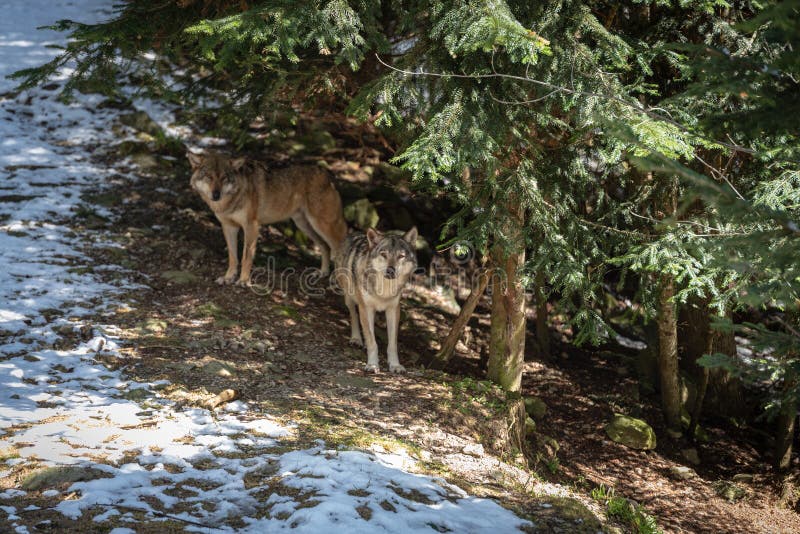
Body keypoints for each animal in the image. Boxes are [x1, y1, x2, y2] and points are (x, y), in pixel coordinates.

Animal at [189, 151, 348, 284]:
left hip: (323, 225)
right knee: (325, 247)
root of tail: (327, 174)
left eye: (224, 178)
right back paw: (323, 273)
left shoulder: (251, 226)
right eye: (209, 177)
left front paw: (243, 280)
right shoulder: (229, 227)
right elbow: (233, 257)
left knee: (339, 246)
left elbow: (246, 256)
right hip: (304, 225)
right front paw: (228, 277)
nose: (216, 195)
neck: (230, 201)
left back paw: (337, 279)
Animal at [334, 228, 418, 374]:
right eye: (383, 254)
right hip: (349, 298)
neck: (384, 290)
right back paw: (356, 339)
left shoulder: (393, 310)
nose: (390, 270)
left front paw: (395, 365)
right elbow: (373, 342)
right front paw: (372, 365)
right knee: (354, 315)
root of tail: (354, 232)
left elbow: (392, 344)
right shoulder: (366, 308)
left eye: (401, 256)